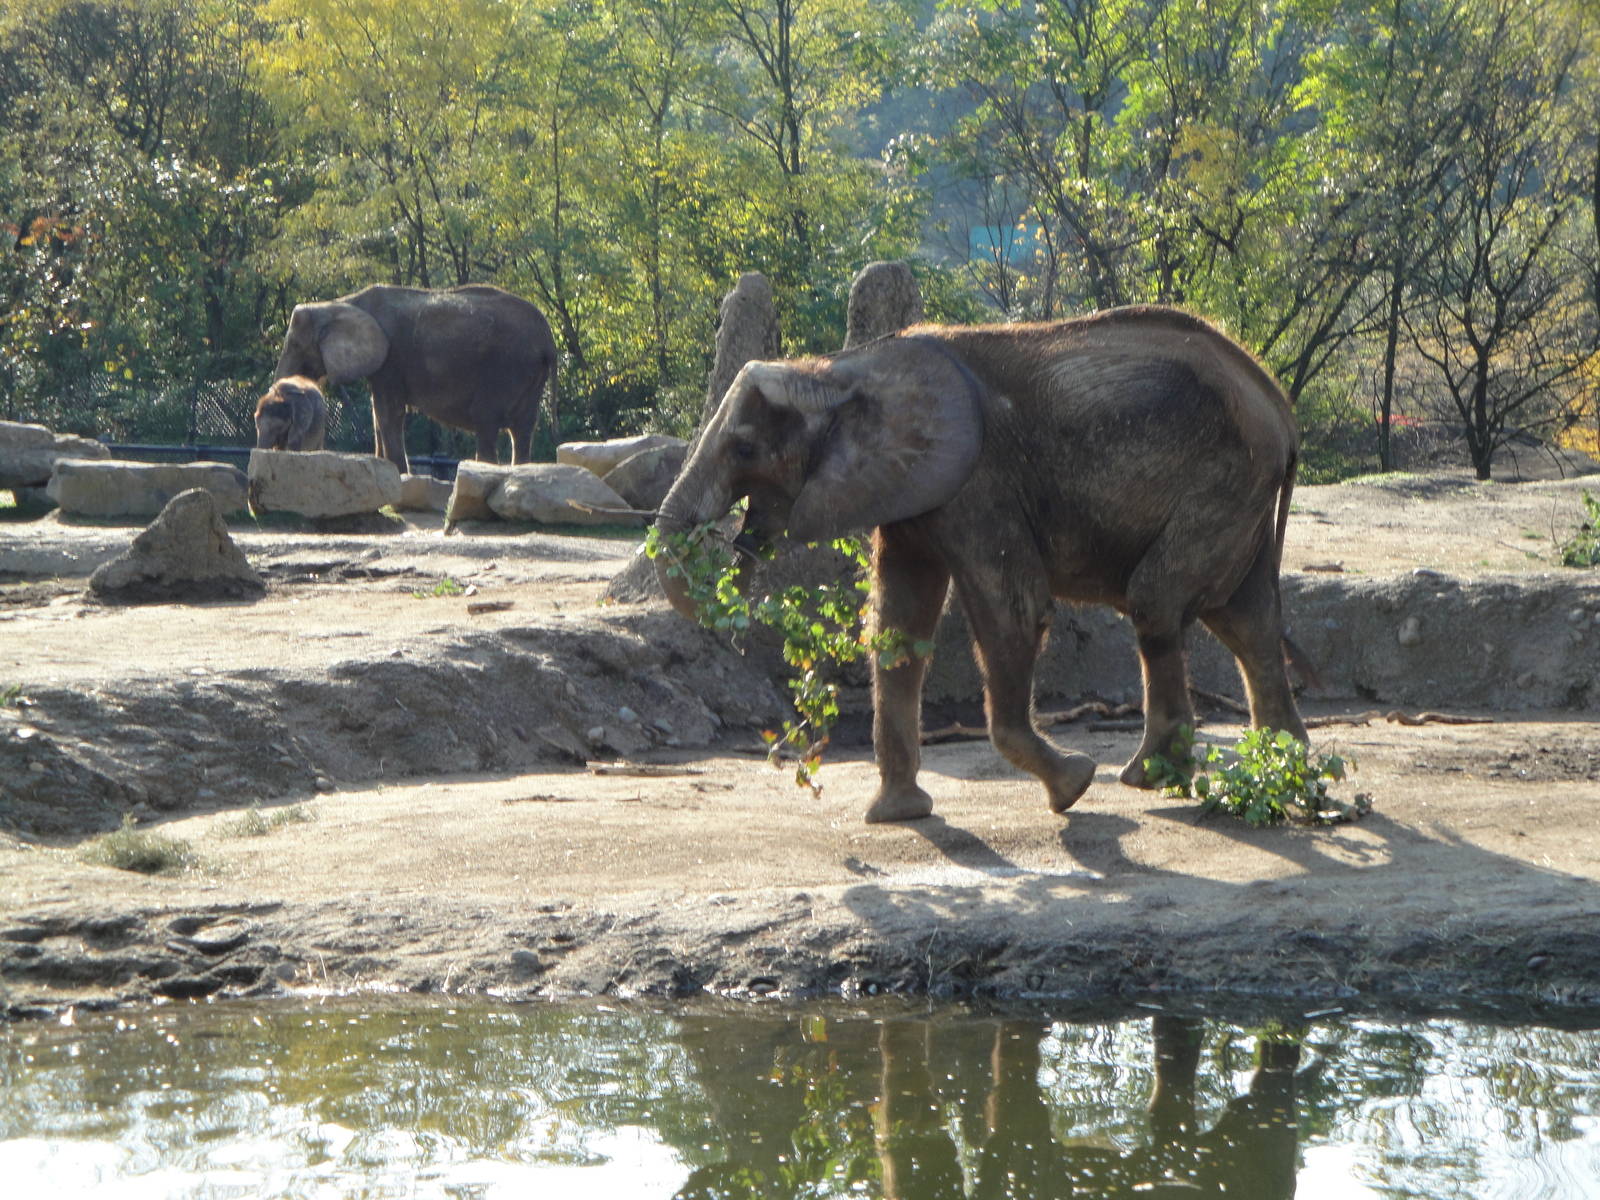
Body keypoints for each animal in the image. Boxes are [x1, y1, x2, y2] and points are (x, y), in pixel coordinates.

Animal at [273, 283, 558, 472]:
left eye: (296, 346)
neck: (339, 304)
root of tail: (548, 339)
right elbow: (379, 413)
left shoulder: (392, 359)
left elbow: (389, 412)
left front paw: (398, 474)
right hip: (530, 375)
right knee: (523, 429)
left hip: (505, 369)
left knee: (486, 421)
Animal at [654, 304, 1308, 824]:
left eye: (744, 449)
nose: (736, 553)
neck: (839, 370)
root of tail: (1277, 403)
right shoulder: (913, 488)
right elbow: (899, 626)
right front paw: (897, 815)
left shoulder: (978, 482)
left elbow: (1010, 610)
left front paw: (1072, 787)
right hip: (1241, 491)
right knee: (1245, 619)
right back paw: (1284, 766)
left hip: (1224, 480)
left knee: (1157, 602)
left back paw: (1150, 778)